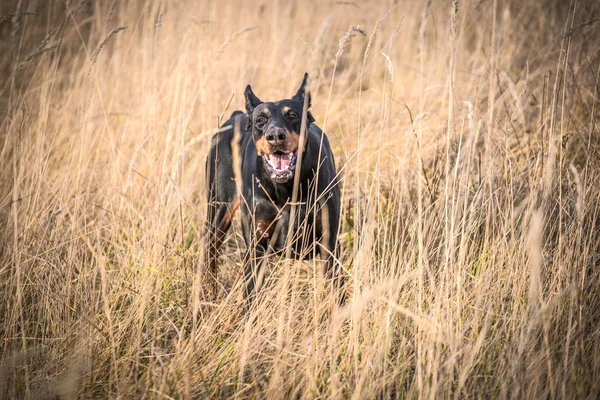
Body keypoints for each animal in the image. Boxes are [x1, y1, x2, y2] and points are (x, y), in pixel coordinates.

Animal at [205, 73, 342, 304]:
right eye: (261, 120)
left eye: (292, 115)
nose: (276, 136)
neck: (286, 188)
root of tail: (235, 116)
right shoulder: (256, 248)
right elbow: (251, 297)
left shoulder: (329, 245)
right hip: (218, 211)